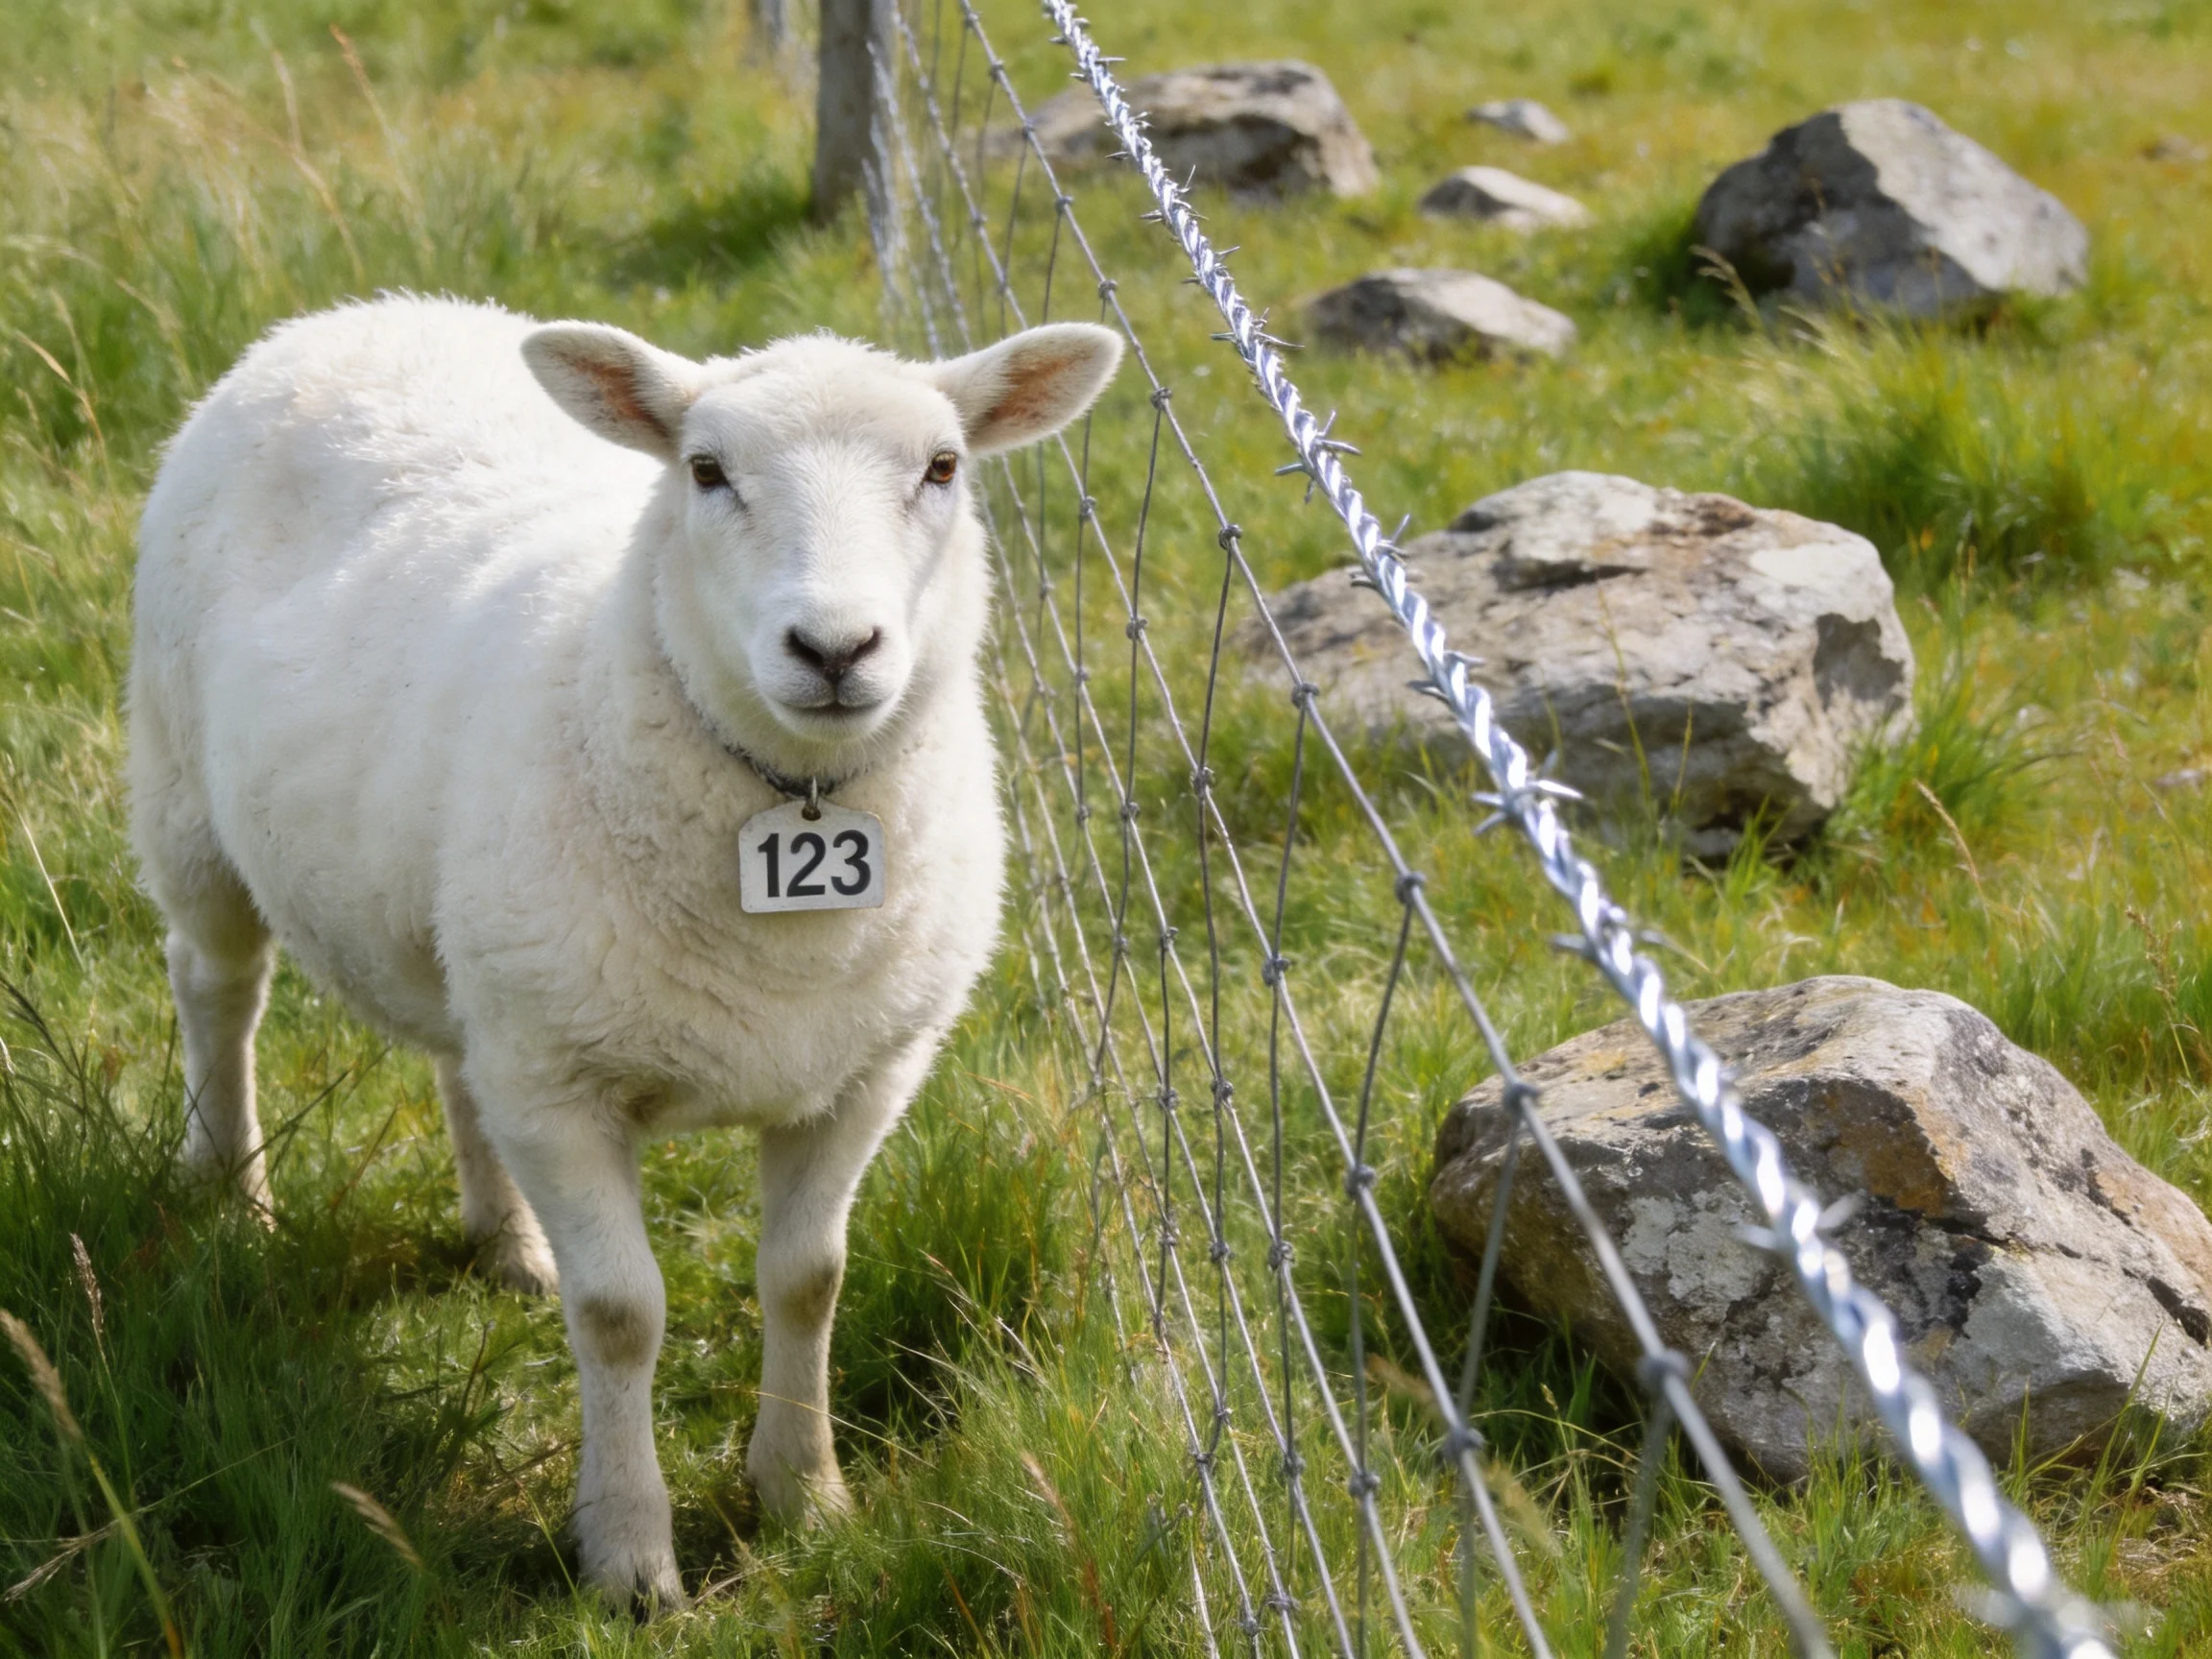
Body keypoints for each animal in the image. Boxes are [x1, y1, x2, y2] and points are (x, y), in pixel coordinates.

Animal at [127, 295, 1122, 1607]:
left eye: (943, 467)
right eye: (705, 471)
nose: (835, 648)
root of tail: (363, 312)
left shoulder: (863, 1073)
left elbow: (809, 1278)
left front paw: (804, 1496)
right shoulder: (563, 1089)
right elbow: (621, 1316)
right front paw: (630, 1556)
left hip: (482, 937)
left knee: (456, 1061)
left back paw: (509, 1245)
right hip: (187, 797)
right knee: (217, 989)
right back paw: (237, 1196)